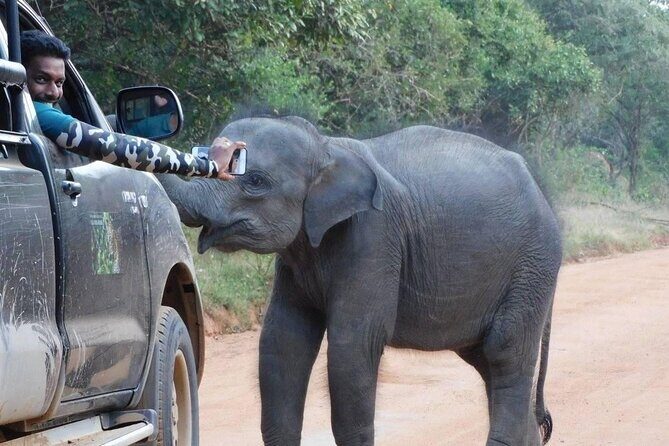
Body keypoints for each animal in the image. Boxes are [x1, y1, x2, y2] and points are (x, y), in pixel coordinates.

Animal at [158, 116, 561, 446]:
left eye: (256, 181)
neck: (325, 147)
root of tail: (544, 195)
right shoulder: (297, 258)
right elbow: (282, 341)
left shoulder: (374, 238)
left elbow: (352, 346)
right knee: (485, 360)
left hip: (533, 265)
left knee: (505, 351)